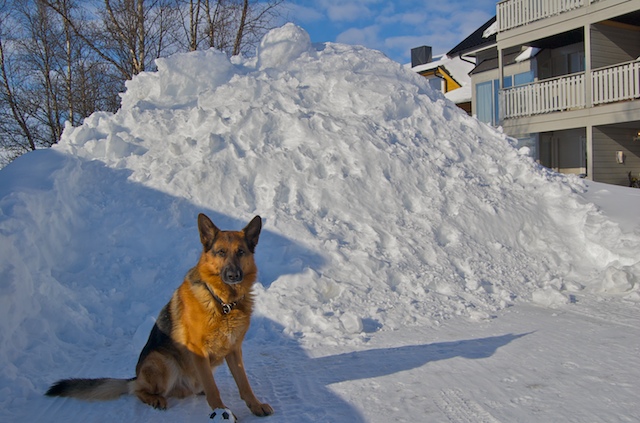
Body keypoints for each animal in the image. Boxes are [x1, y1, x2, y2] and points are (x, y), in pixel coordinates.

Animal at [45, 214, 274, 420]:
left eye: (241, 252)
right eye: (221, 252)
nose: (233, 275)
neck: (222, 303)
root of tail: (136, 376)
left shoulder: (234, 350)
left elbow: (244, 384)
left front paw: (255, 406)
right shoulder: (198, 350)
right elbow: (213, 388)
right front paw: (219, 409)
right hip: (162, 361)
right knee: (138, 390)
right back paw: (155, 398)